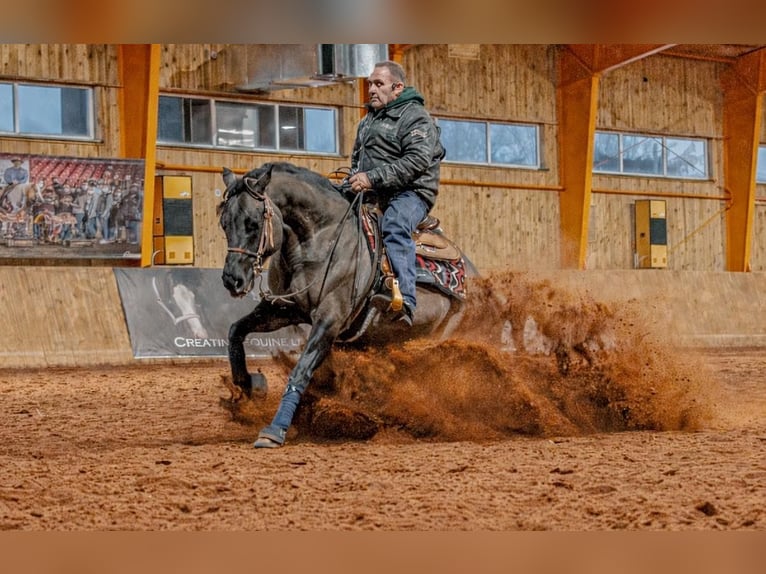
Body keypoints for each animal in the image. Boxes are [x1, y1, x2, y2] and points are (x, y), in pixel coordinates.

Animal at [218, 162, 474, 448]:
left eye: (253, 223)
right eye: (224, 223)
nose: (232, 280)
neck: (322, 239)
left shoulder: (330, 319)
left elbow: (301, 371)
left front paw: (275, 429)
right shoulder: (285, 309)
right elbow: (236, 332)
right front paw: (250, 386)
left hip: (445, 333)